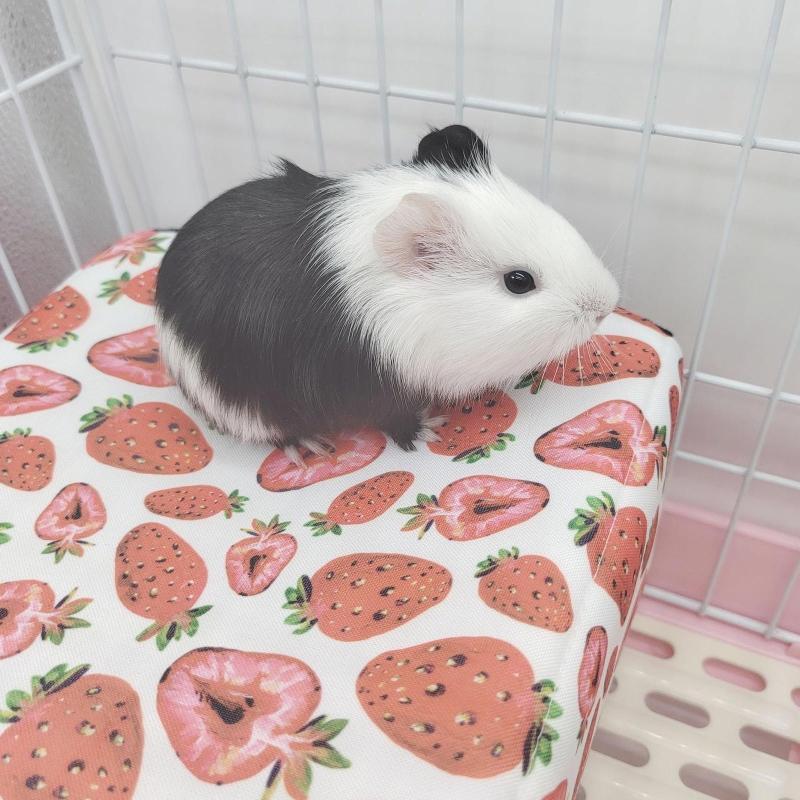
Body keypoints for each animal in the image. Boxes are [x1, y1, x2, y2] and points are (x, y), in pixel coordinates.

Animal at [155, 125, 619, 459]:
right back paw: (308, 449)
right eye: (518, 281)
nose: (607, 304)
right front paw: (432, 431)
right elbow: (394, 419)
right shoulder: (374, 387)